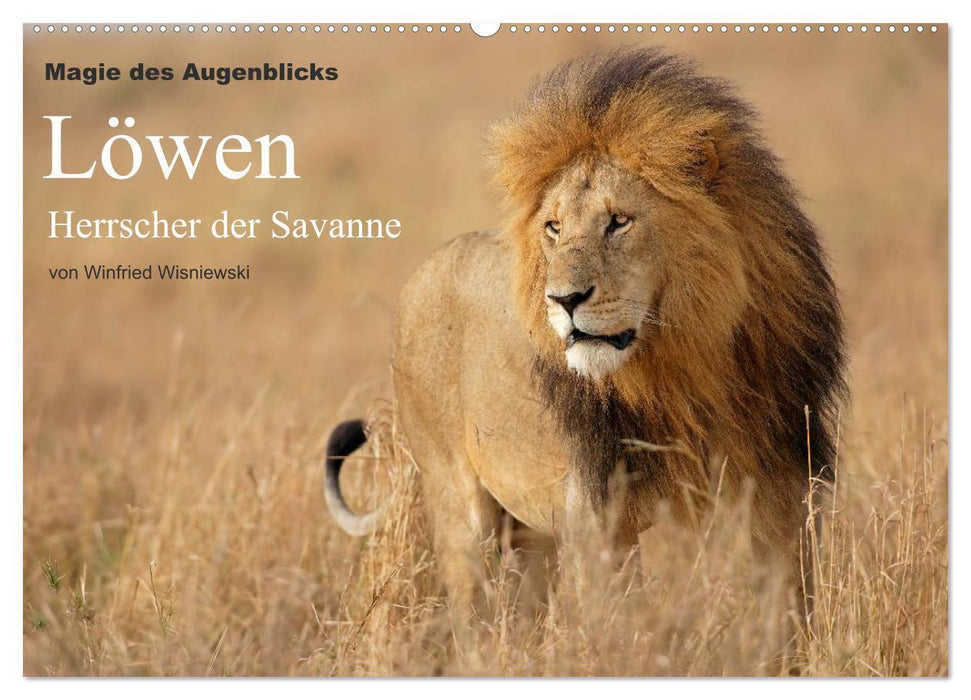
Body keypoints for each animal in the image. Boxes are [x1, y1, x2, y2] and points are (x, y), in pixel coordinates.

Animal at [324, 48, 846, 630]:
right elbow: (620, 626)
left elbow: (788, 612)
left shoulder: (780, 492)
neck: (685, 367)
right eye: (553, 227)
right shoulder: (597, 518)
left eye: (618, 221)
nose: (564, 299)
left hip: (534, 532)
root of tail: (421, 272)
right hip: (459, 505)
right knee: (472, 614)